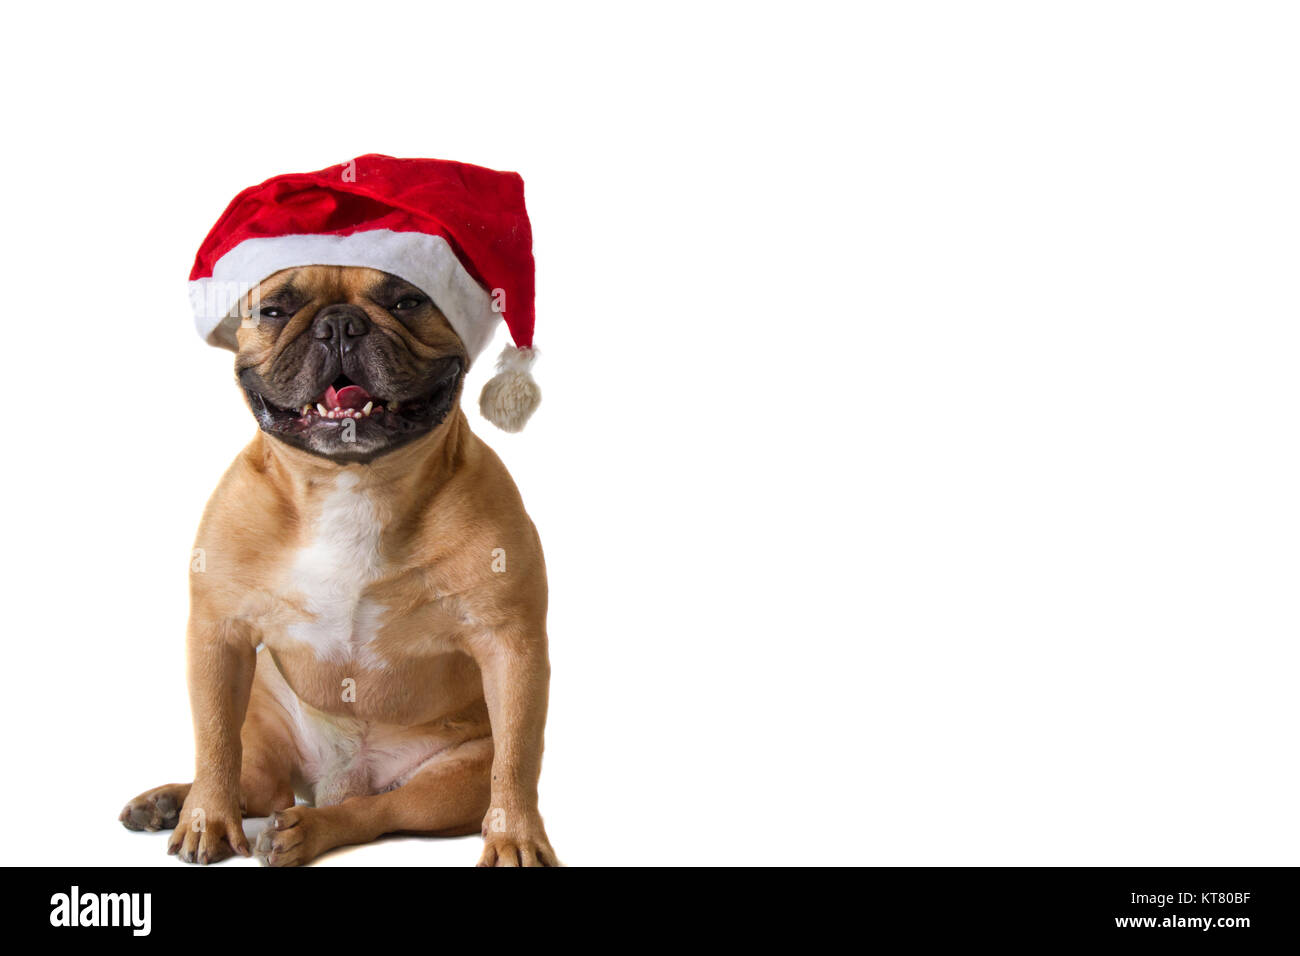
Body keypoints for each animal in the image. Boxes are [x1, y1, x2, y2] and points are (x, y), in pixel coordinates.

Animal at [124, 264, 561, 868]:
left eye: (409, 302)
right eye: (275, 310)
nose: (338, 324)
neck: (352, 479)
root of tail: (343, 777)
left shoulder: (510, 644)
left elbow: (517, 758)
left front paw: (515, 836)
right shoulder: (219, 636)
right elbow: (213, 740)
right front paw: (206, 818)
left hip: (450, 781)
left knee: (377, 810)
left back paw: (303, 830)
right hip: (260, 703)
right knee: (255, 779)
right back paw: (173, 801)